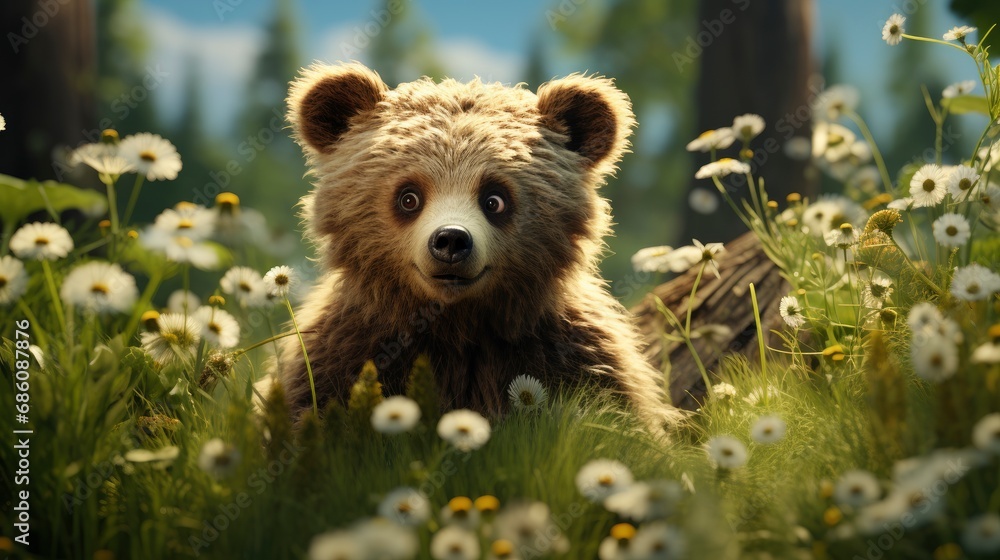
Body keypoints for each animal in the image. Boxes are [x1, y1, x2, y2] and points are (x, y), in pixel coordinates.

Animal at [276, 61, 683, 433]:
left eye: (494, 199)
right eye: (409, 197)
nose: (451, 240)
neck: (458, 326)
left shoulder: (572, 355)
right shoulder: (343, 355)